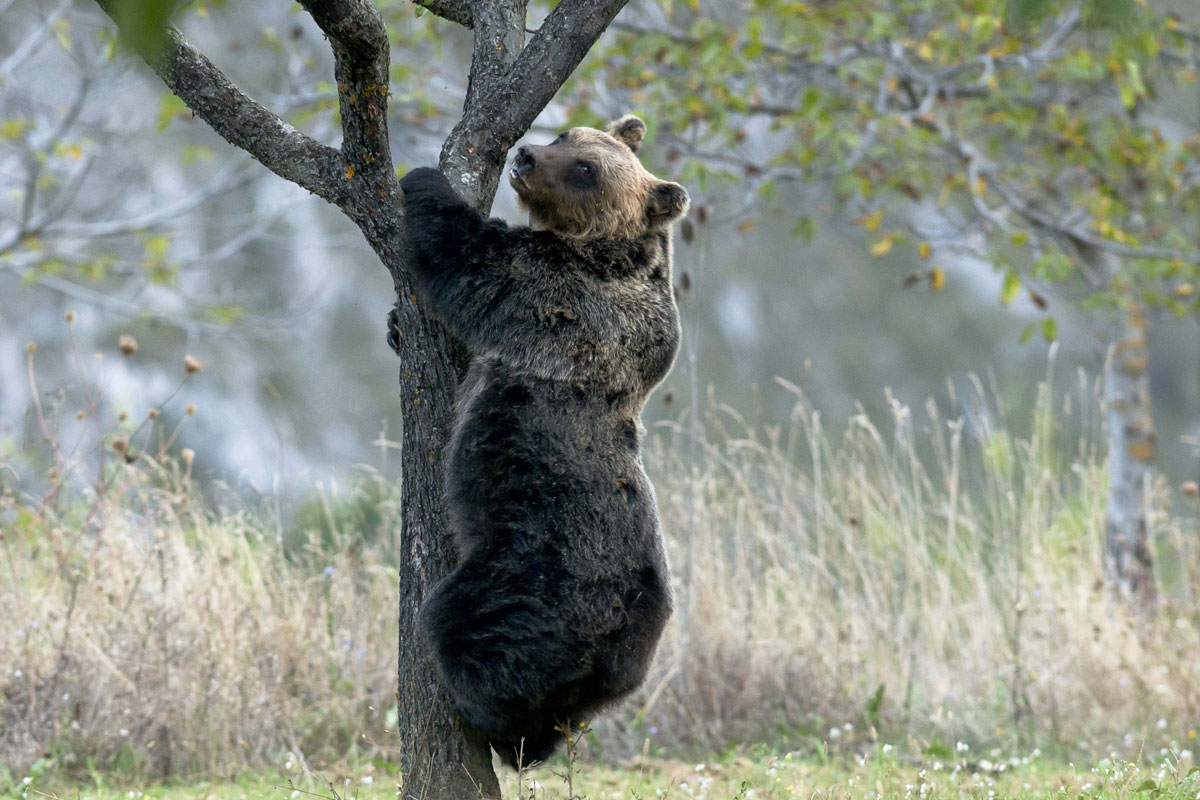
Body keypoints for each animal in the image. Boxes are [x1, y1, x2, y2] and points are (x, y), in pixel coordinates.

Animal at [391, 114, 688, 768]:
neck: (602, 249)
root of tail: (616, 646)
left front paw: (423, 180)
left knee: (466, 627)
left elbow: (480, 263)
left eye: (586, 168)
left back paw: (492, 726)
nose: (525, 155)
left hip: (530, 575)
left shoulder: (564, 297)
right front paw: (396, 325)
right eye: (567, 134)